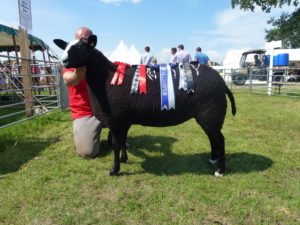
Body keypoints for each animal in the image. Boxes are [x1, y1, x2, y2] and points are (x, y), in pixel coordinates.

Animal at [54, 36, 237, 178]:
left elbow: (115, 144)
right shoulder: (123, 120)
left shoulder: (115, 119)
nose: (63, 62)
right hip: (208, 116)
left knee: (220, 139)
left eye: (79, 47)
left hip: (211, 112)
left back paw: (220, 170)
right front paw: (124, 159)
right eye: (66, 46)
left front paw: (115, 170)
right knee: (213, 137)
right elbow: (122, 141)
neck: (105, 78)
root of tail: (221, 82)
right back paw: (213, 159)